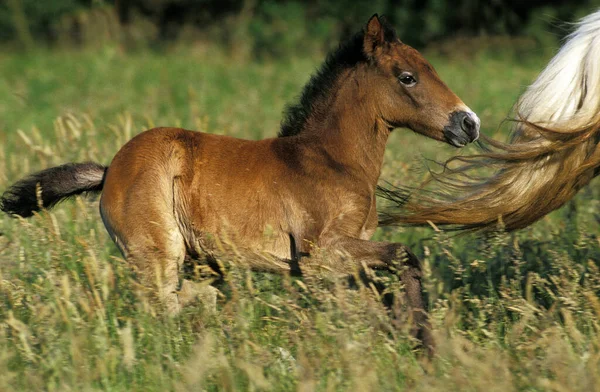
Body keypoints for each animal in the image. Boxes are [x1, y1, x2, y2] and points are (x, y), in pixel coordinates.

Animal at [0, 16, 478, 352]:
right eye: (407, 77)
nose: (469, 123)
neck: (331, 159)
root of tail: (109, 170)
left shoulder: (342, 262)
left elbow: (386, 283)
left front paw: (408, 339)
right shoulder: (321, 255)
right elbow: (404, 258)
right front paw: (424, 346)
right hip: (159, 255)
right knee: (163, 308)